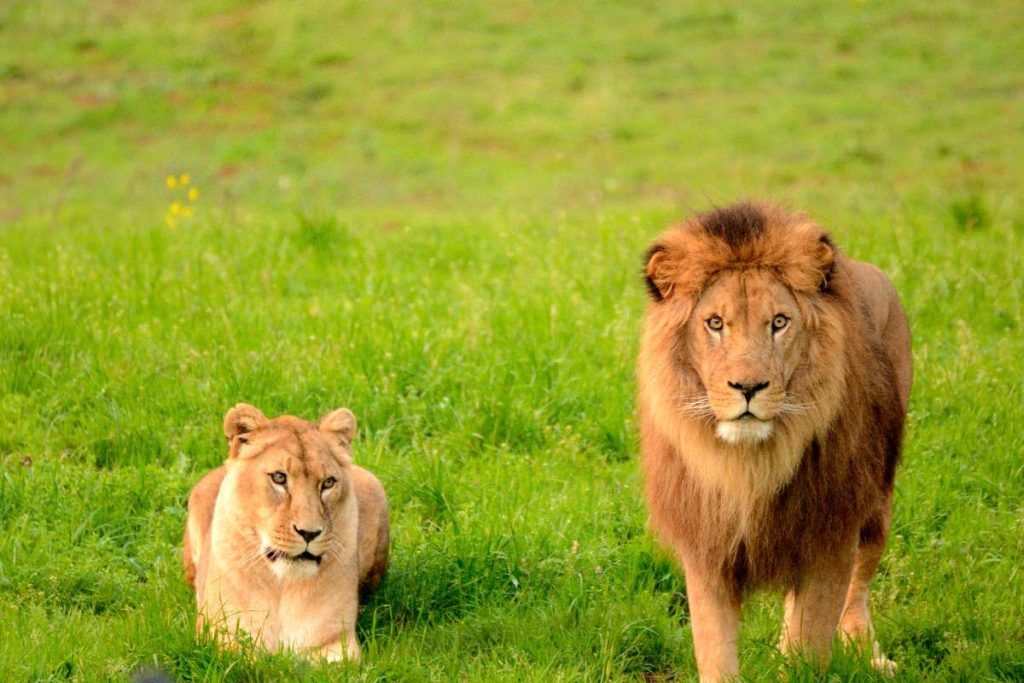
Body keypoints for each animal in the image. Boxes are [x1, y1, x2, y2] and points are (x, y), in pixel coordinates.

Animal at [183, 404, 389, 662]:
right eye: (279, 477)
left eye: (328, 483)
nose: (309, 533)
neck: (281, 587)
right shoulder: (218, 638)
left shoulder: (337, 642)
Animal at [638, 202, 912, 681]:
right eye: (715, 324)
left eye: (779, 323)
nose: (748, 387)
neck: (751, 464)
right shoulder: (708, 545)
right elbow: (716, 653)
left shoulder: (830, 535)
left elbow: (812, 638)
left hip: (877, 501)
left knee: (858, 588)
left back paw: (871, 655)